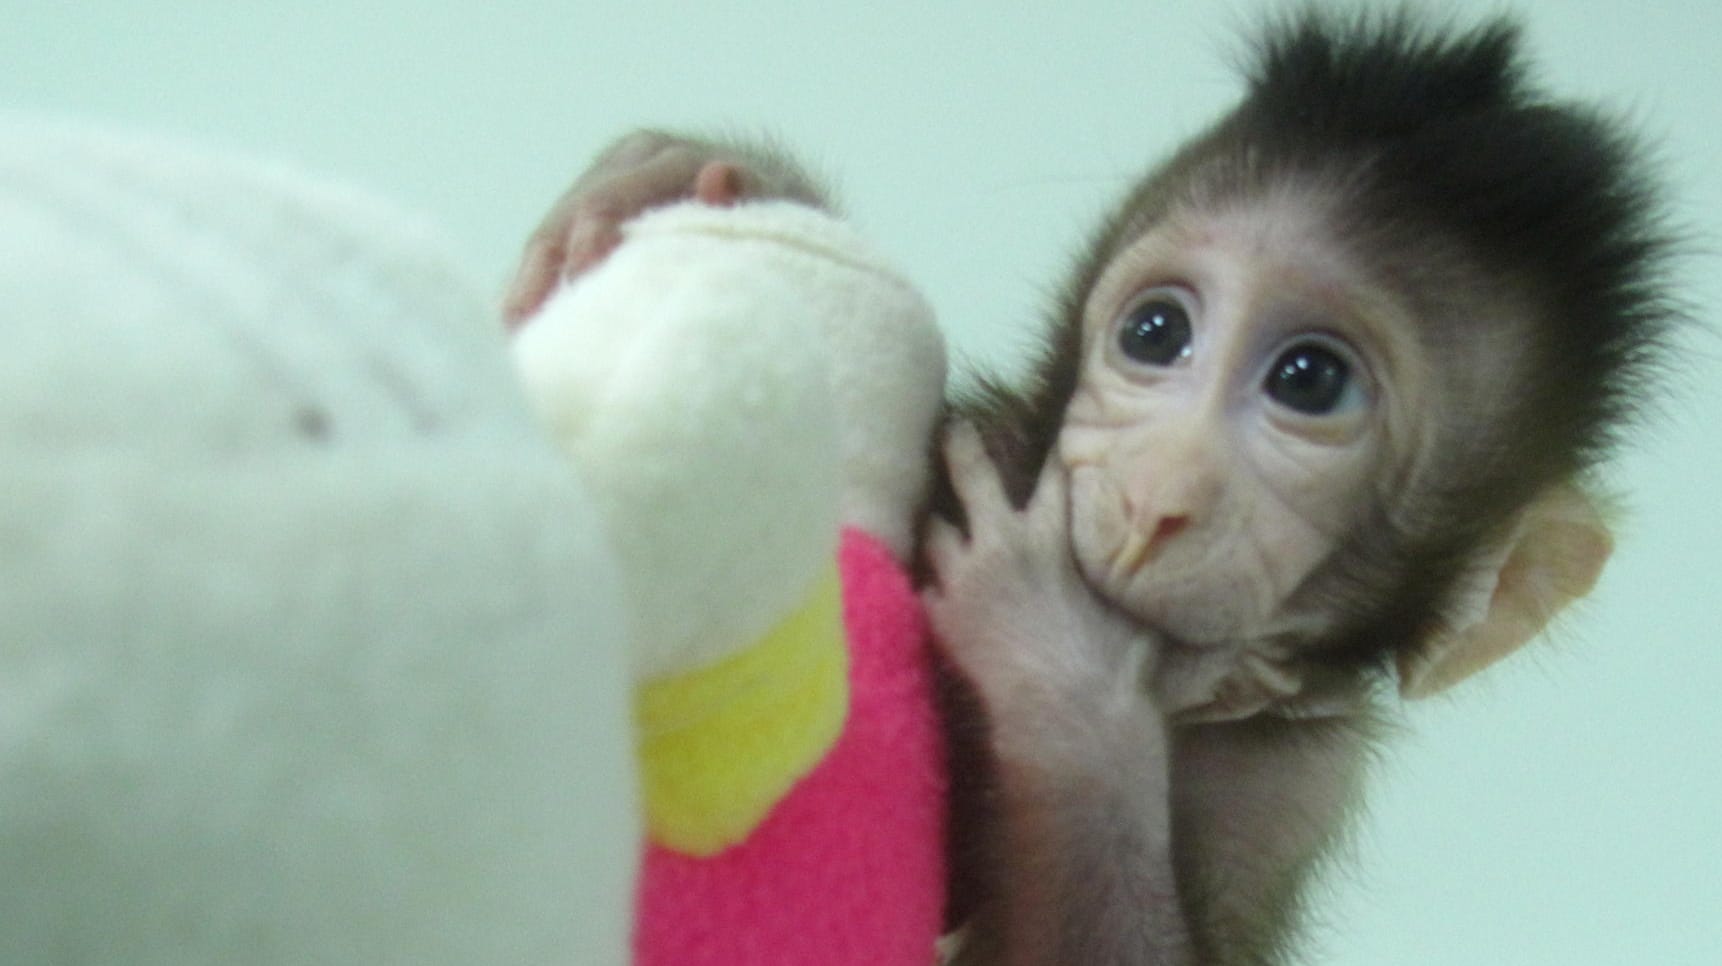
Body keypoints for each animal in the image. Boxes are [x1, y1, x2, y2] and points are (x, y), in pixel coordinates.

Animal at [502, 9, 1680, 964]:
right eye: (1155, 332)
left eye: (1310, 381)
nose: (1157, 498)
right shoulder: (985, 443)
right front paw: (686, 171)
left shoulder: (1297, 777)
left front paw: (1058, 665)